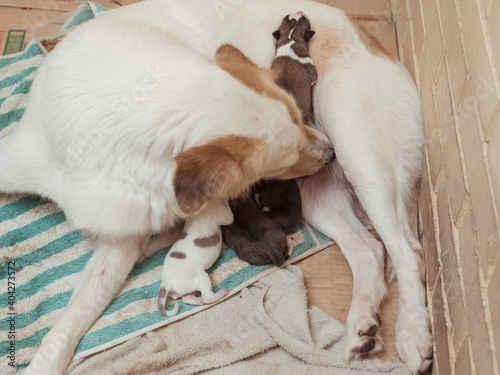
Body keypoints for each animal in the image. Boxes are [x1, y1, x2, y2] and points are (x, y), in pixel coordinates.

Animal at [0, 0, 430, 375]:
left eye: (297, 113)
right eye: (285, 155)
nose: (329, 154)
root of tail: (365, 34)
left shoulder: (124, 242)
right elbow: (70, 320)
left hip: (360, 153)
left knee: (405, 249)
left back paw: (413, 334)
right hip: (318, 198)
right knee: (369, 250)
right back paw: (362, 326)